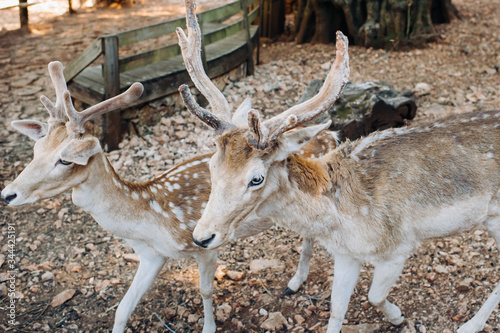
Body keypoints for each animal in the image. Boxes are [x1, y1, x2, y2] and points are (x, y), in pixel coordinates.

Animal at [0, 61, 340, 330]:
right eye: (35, 150)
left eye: (66, 160)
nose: (7, 194)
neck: (151, 220)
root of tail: (332, 134)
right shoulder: (151, 255)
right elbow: (122, 309)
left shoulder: (205, 246)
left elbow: (205, 291)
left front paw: (209, 327)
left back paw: (295, 282)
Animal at [176, 0, 500, 330]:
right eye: (212, 167)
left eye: (256, 178)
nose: (202, 237)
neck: (340, 219)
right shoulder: (346, 254)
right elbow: (337, 310)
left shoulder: (399, 246)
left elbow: (374, 296)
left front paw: (398, 317)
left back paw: (470, 325)